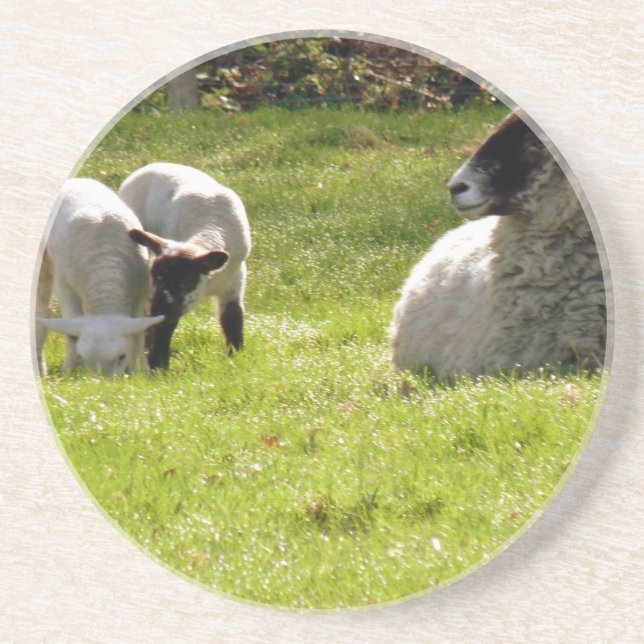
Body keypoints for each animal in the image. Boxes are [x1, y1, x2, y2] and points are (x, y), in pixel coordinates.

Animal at [36, 178, 165, 376]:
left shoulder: (140, 288)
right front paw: (69, 371)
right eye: (84, 358)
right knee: (41, 311)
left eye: (121, 356)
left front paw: (140, 370)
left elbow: (138, 333)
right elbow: (71, 333)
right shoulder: (65, 287)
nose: (103, 383)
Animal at [119, 162, 251, 370]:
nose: (159, 309)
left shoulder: (235, 279)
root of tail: (152, 165)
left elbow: (233, 317)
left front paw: (235, 358)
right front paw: (159, 365)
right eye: (156, 277)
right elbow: (166, 325)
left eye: (186, 282)